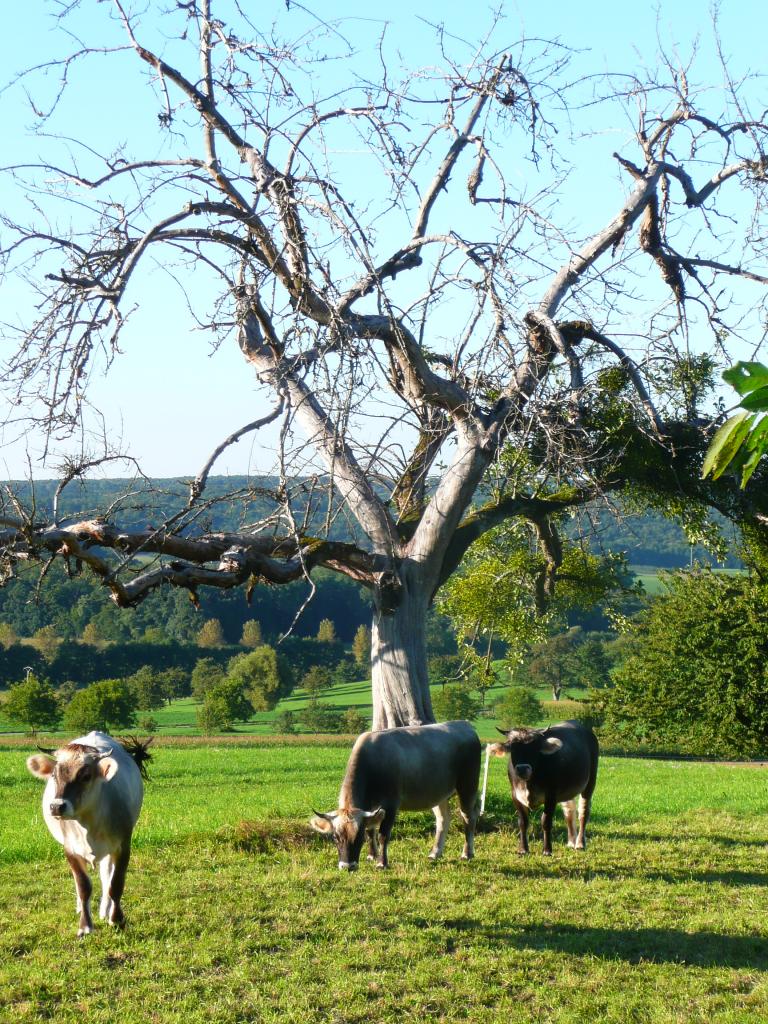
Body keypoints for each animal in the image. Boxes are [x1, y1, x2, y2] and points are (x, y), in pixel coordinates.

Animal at [26, 731, 152, 936]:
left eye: (85, 776)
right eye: (54, 774)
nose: (57, 806)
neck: (88, 823)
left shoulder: (123, 846)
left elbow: (116, 884)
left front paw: (117, 920)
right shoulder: (70, 849)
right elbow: (83, 886)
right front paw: (85, 926)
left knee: (106, 876)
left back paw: (105, 910)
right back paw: (81, 907)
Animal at [311, 720, 481, 871]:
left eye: (358, 837)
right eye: (335, 837)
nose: (347, 866)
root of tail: (464, 725)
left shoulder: (391, 804)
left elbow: (383, 835)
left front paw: (382, 863)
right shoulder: (370, 808)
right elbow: (370, 830)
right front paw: (372, 856)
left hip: (468, 786)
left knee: (468, 817)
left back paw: (467, 853)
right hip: (439, 793)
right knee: (443, 819)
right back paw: (435, 853)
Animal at [491, 720, 598, 856]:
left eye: (535, 747)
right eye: (512, 747)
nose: (522, 768)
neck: (529, 783)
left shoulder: (551, 795)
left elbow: (546, 821)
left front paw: (547, 850)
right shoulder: (515, 795)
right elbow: (523, 822)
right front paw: (523, 849)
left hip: (590, 783)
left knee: (583, 812)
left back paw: (580, 844)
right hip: (567, 790)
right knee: (569, 811)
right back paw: (570, 842)